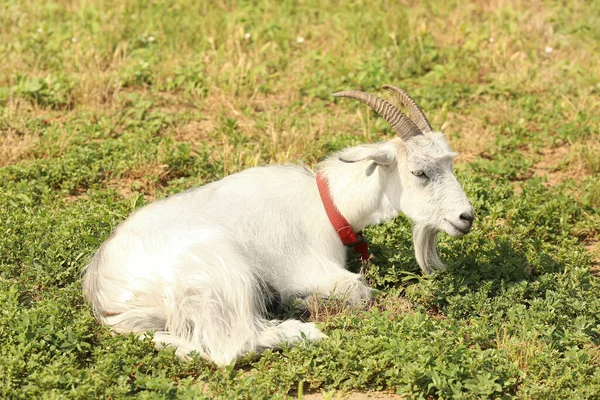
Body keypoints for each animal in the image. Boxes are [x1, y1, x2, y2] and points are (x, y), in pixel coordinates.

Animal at [82, 84, 474, 366]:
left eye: (450, 164)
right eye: (419, 172)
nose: (465, 217)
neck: (326, 204)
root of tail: (104, 287)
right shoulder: (307, 268)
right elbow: (360, 292)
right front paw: (303, 300)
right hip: (219, 271)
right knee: (229, 348)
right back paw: (302, 329)